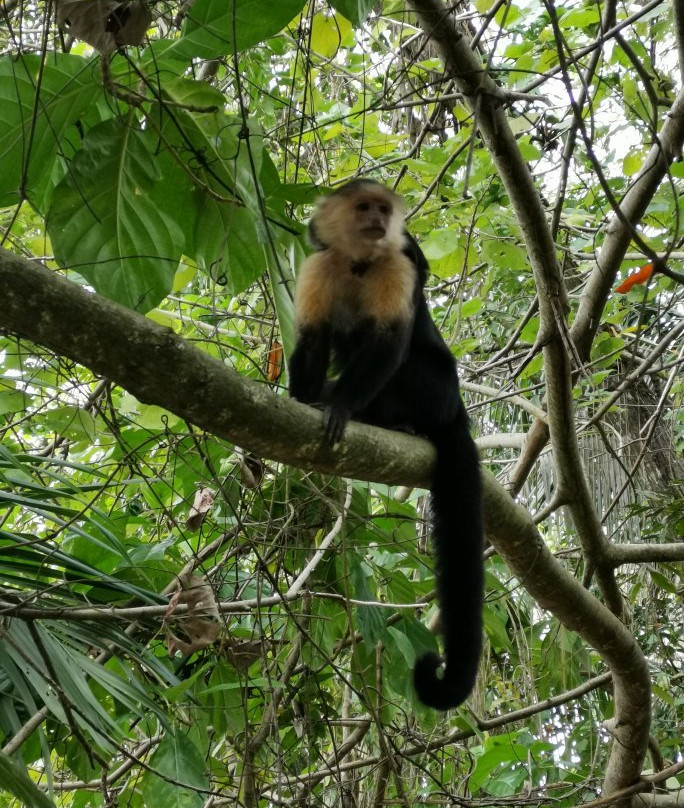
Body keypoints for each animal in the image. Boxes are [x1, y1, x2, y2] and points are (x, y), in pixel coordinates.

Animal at [288, 178, 486, 708]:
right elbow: (314, 338)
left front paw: (338, 406)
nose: (378, 219)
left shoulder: (397, 262)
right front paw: (302, 397)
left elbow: (389, 342)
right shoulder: (319, 264)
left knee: (404, 361)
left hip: (435, 393)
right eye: (364, 208)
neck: (360, 261)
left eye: (382, 208)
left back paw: (394, 422)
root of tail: (455, 408)